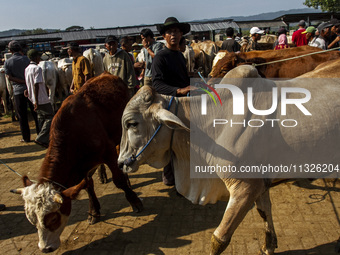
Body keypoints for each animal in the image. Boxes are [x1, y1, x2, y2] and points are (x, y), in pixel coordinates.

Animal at [10, 73, 142, 253]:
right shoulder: (83, 166)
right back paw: (102, 174)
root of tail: (106, 74)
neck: (74, 134)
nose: (45, 248)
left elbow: (119, 180)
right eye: (32, 220)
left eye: (53, 218)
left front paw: (134, 200)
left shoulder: (107, 151)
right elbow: (87, 185)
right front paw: (94, 211)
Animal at [117, 64, 340, 255]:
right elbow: (264, 212)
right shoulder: (260, 184)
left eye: (132, 123)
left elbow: (219, 239)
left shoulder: (245, 188)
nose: (120, 163)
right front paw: (269, 246)